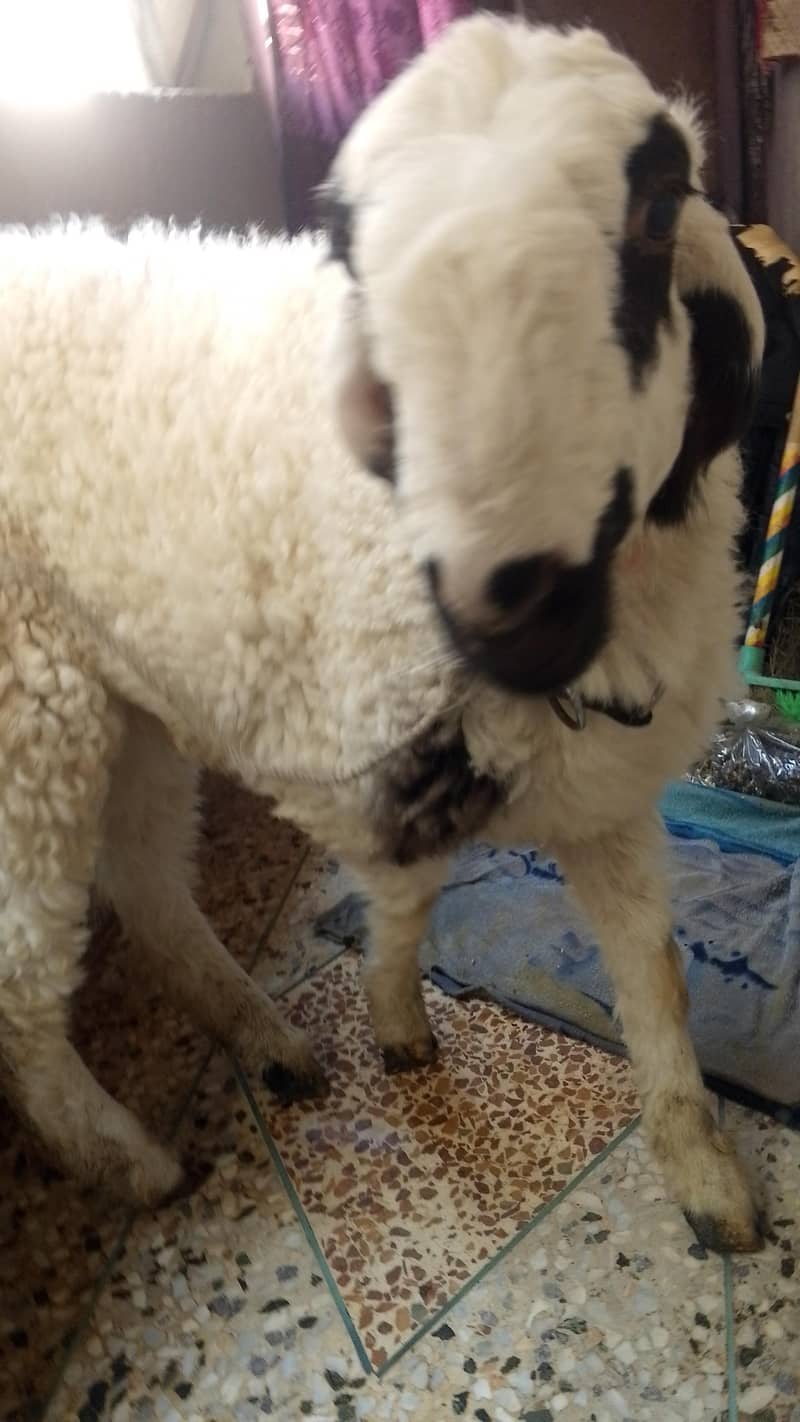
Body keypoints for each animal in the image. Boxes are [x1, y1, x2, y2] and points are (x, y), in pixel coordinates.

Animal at [0, 15, 766, 1253]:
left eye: (659, 207)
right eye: (349, 248)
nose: (507, 600)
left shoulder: (602, 795)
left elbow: (654, 976)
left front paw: (702, 1176)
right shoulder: (356, 758)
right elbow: (405, 897)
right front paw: (396, 1025)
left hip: (118, 691)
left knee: (148, 892)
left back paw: (266, 1043)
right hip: (29, 722)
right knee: (23, 980)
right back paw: (129, 1160)